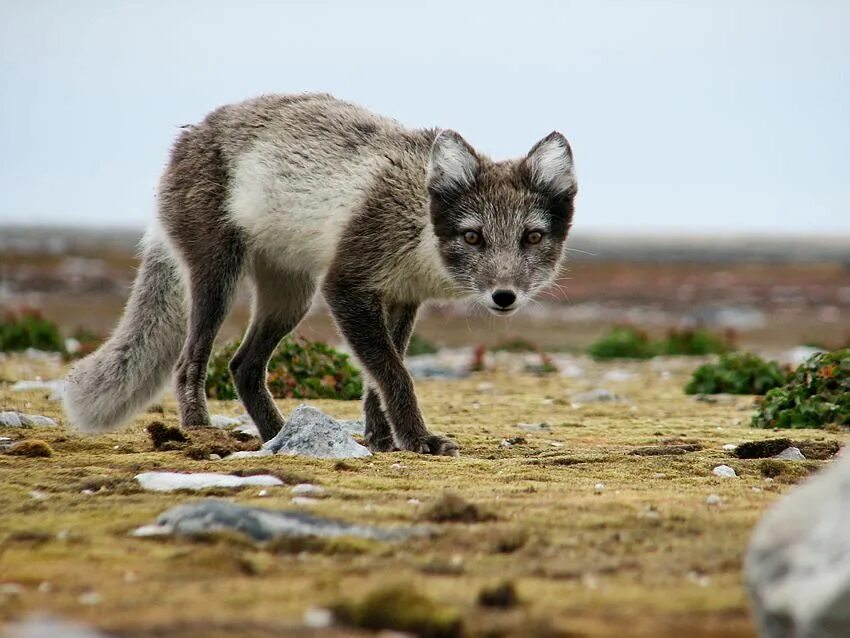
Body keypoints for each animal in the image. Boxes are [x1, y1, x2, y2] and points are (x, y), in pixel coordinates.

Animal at [61, 92, 576, 458]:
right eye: (473, 237)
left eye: (531, 237)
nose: (504, 296)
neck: (419, 226)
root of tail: (188, 136)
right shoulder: (346, 285)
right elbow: (395, 373)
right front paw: (418, 440)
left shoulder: (401, 297)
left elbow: (378, 378)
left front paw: (382, 438)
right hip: (220, 278)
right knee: (190, 362)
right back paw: (200, 430)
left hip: (291, 298)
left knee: (243, 366)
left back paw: (277, 435)